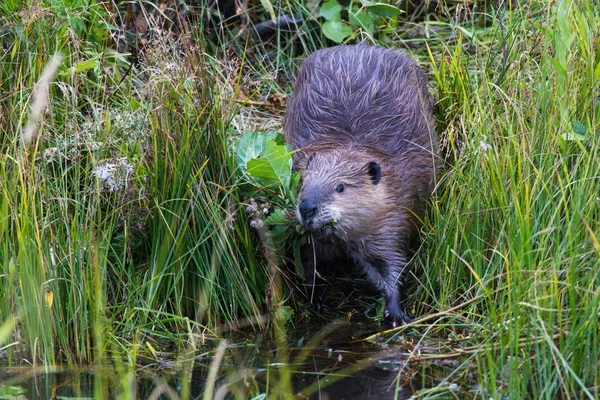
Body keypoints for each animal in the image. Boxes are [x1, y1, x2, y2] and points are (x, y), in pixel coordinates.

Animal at [284, 43, 438, 326]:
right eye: (304, 182)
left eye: (340, 187)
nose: (307, 208)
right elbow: (308, 258)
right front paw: (316, 298)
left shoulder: (392, 219)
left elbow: (392, 264)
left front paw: (395, 312)